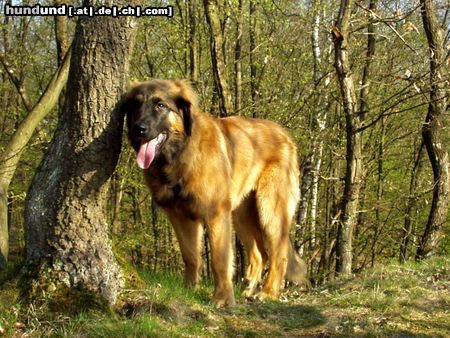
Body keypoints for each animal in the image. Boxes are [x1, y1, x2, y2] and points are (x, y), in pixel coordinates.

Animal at [121, 80, 308, 308]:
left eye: (160, 105)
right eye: (135, 105)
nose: (138, 129)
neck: (181, 153)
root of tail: (285, 135)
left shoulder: (216, 214)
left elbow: (220, 260)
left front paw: (222, 298)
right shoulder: (181, 217)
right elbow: (190, 256)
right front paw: (189, 289)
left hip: (269, 211)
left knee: (278, 255)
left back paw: (268, 292)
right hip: (241, 215)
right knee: (259, 254)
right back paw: (249, 290)